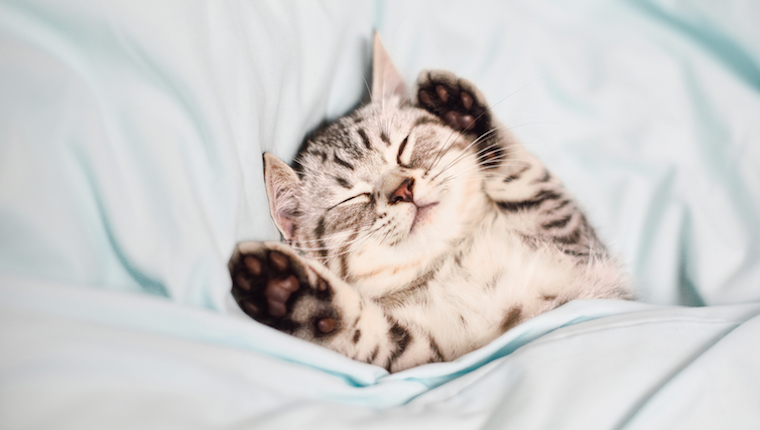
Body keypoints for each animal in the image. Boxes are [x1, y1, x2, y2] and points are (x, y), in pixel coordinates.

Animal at [229, 36, 632, 372]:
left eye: (404, 147)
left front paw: (461, 110)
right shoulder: (428, 353)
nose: (403, 190)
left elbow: (523, 171)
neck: (450, 260)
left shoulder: (574, 242)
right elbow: (363, 332)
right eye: (354, 197)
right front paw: (284, 291)